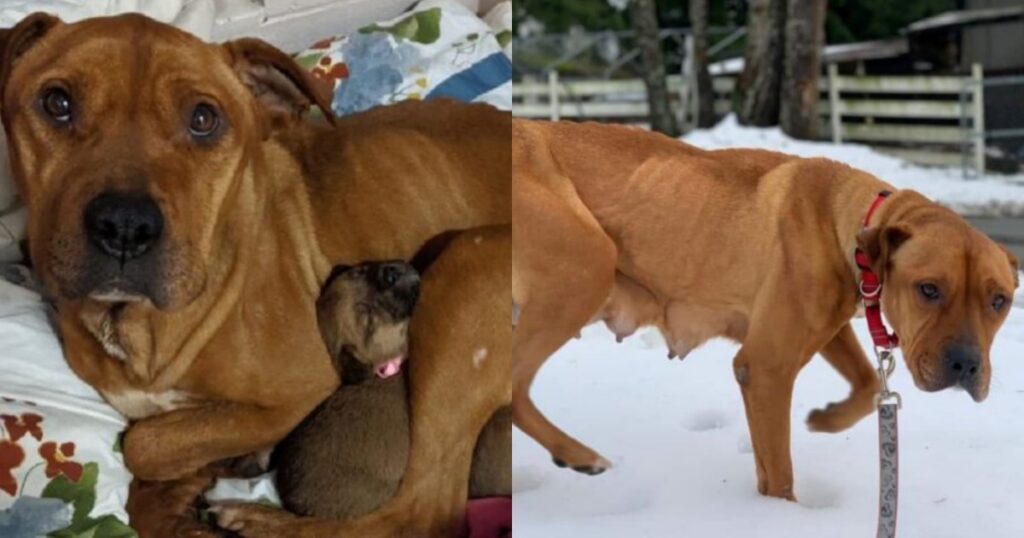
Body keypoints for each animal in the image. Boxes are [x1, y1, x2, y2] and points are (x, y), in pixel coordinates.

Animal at [516, 119, 1019, 498]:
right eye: (928, 289)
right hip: (586, 265)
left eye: (999, 300)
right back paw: (577, 454)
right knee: (509, 390)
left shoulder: (827, 324)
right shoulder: (766, 367)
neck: (846, 221)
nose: (965, 365)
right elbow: (779, 472)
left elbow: (863, 383)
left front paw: (827, 419)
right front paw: (782, 514)